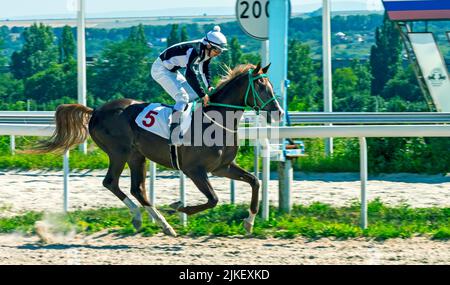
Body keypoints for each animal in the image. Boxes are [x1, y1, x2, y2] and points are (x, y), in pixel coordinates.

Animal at [30, 63, 284, 236]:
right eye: (261, 86)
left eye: (271, 85)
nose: (278, 112)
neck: (215, 120)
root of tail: (96, 111)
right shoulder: (195, 170)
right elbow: (213, 199)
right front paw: (180, 207)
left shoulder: (222, 167)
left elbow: (255, 182)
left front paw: (249, 222)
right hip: (119, 152)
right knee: (111, 182)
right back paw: (148, 218)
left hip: (137, 156)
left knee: (137, 189)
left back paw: (161, 224)